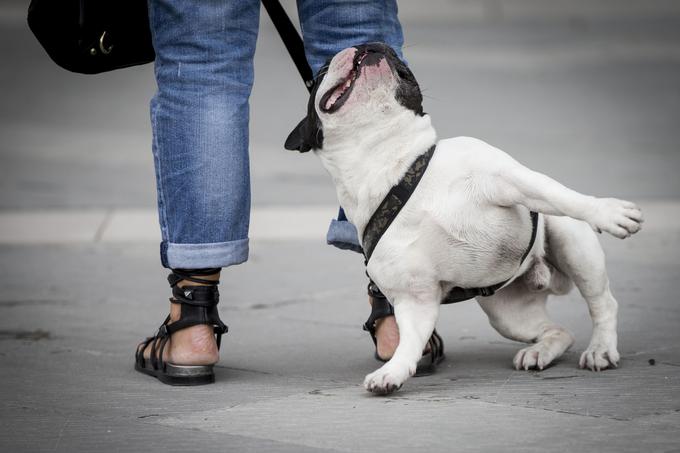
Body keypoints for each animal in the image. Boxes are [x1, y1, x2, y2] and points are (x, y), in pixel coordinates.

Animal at [286, 44, 644, 394]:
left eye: (401, 62)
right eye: (321, 72)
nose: (369, 44)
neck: (389, 160)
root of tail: (541, 274)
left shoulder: (508, 178)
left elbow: (558, 195)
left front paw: (609, 212)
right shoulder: (414, 296)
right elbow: (409, 341)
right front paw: (393, 372)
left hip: (573, 246)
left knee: (602, 303)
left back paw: (600, 349)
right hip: (508, 314)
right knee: (559, 331)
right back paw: (539, 352)